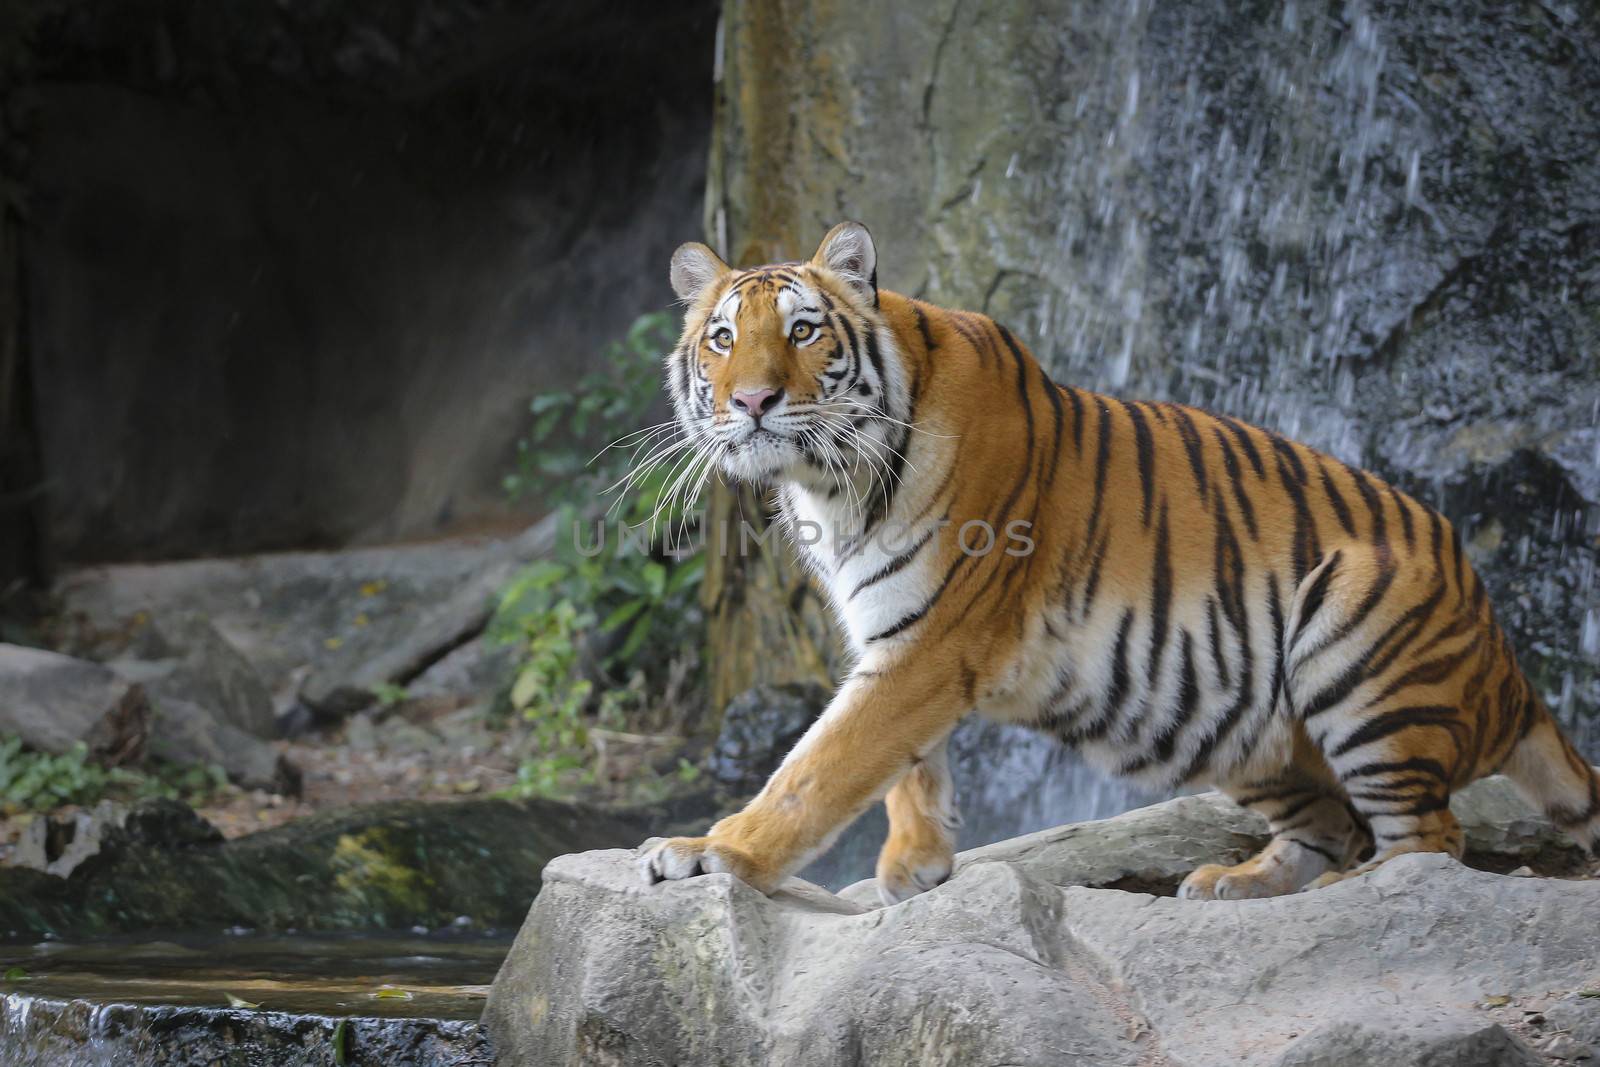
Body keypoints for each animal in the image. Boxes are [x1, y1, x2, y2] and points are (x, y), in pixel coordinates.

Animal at [633, 220, 1600, 908]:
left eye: (803, 331)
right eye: (721, 338)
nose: (753, 402)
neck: (828, 484)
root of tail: (1510, 661)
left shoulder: (932, 642)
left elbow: (820, 768)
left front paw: (712, 851)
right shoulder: (895, 636)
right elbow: (906, 767)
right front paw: (918, 865)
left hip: (1355, 639)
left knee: (1430, 843)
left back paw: (1342, 892)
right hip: (1242, 727)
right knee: (1335, 823)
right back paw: (1237, 884)